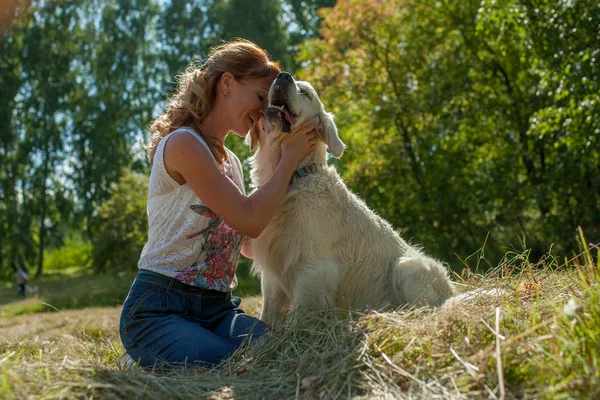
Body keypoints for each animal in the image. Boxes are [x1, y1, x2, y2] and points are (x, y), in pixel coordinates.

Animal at [246, 72, 452, 324]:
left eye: (306, 93)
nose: (283, 76)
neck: (291, 179)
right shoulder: (273, 273)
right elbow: (268, 313)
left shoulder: (314, 269)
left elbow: (301, 314)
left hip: (406, 267)